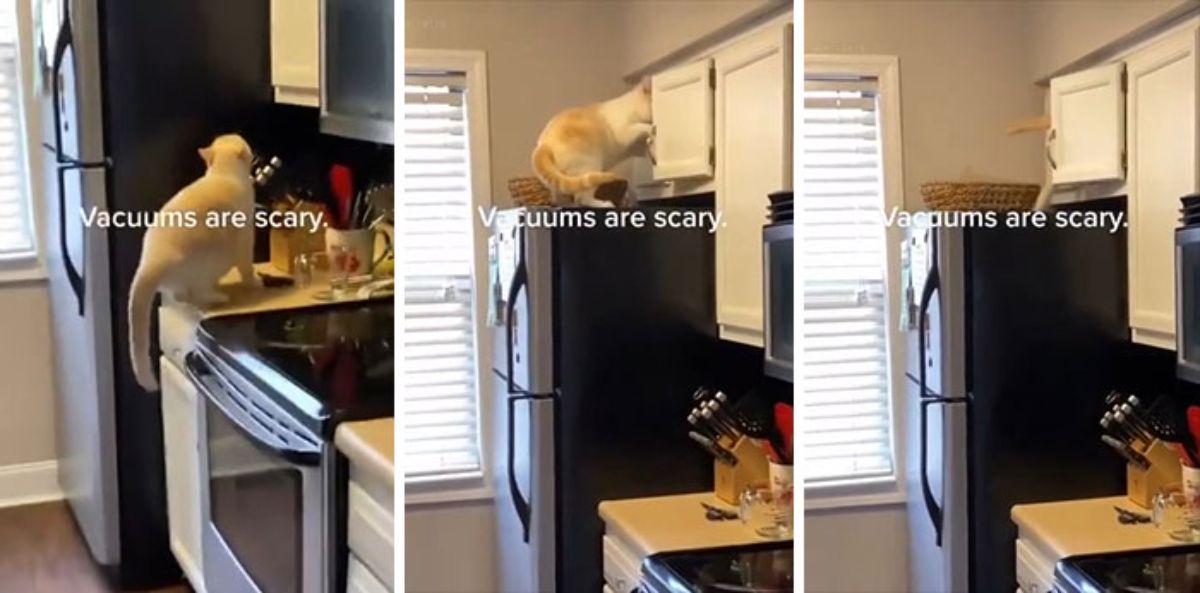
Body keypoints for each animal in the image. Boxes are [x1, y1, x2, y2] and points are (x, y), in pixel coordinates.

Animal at [127, 135, 258, 393]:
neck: (222, 173)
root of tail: (151, 260)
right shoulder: (245, 241)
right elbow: (247, 268)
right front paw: (255, 282)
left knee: (182, 295)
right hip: (210, 263)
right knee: (193, 294)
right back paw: (219, 296)